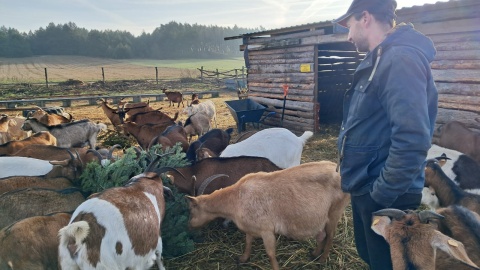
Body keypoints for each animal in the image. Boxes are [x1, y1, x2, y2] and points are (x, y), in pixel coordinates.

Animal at [187, 161, 348, 268]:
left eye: (192, 211)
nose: (189, 227)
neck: (237, 198)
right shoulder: (252, 227)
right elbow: (248, 242)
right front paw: (243, 259)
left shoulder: (267, 230)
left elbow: (270, 254)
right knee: (322, 235)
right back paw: (314, 254)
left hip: (335, 211)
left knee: (330, 235)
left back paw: (322, 259)